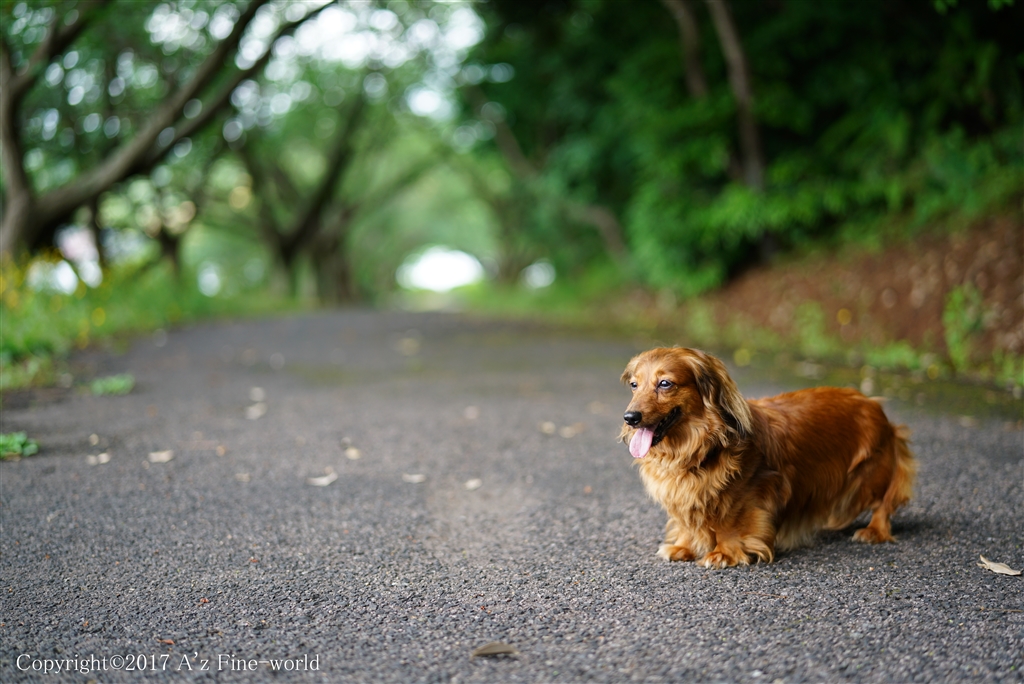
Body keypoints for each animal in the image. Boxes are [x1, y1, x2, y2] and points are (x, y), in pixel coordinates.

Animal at [618, 348, 917, 565]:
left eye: (665, 384)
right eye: (634, 385)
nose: (630, 418)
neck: (699, 448)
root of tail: (876, 406)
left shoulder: (746, 494)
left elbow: (730, 524)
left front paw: (724, 553)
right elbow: (688, 524)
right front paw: (684, 547)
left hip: (870, 475)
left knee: (883, 502)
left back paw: (875, 531)